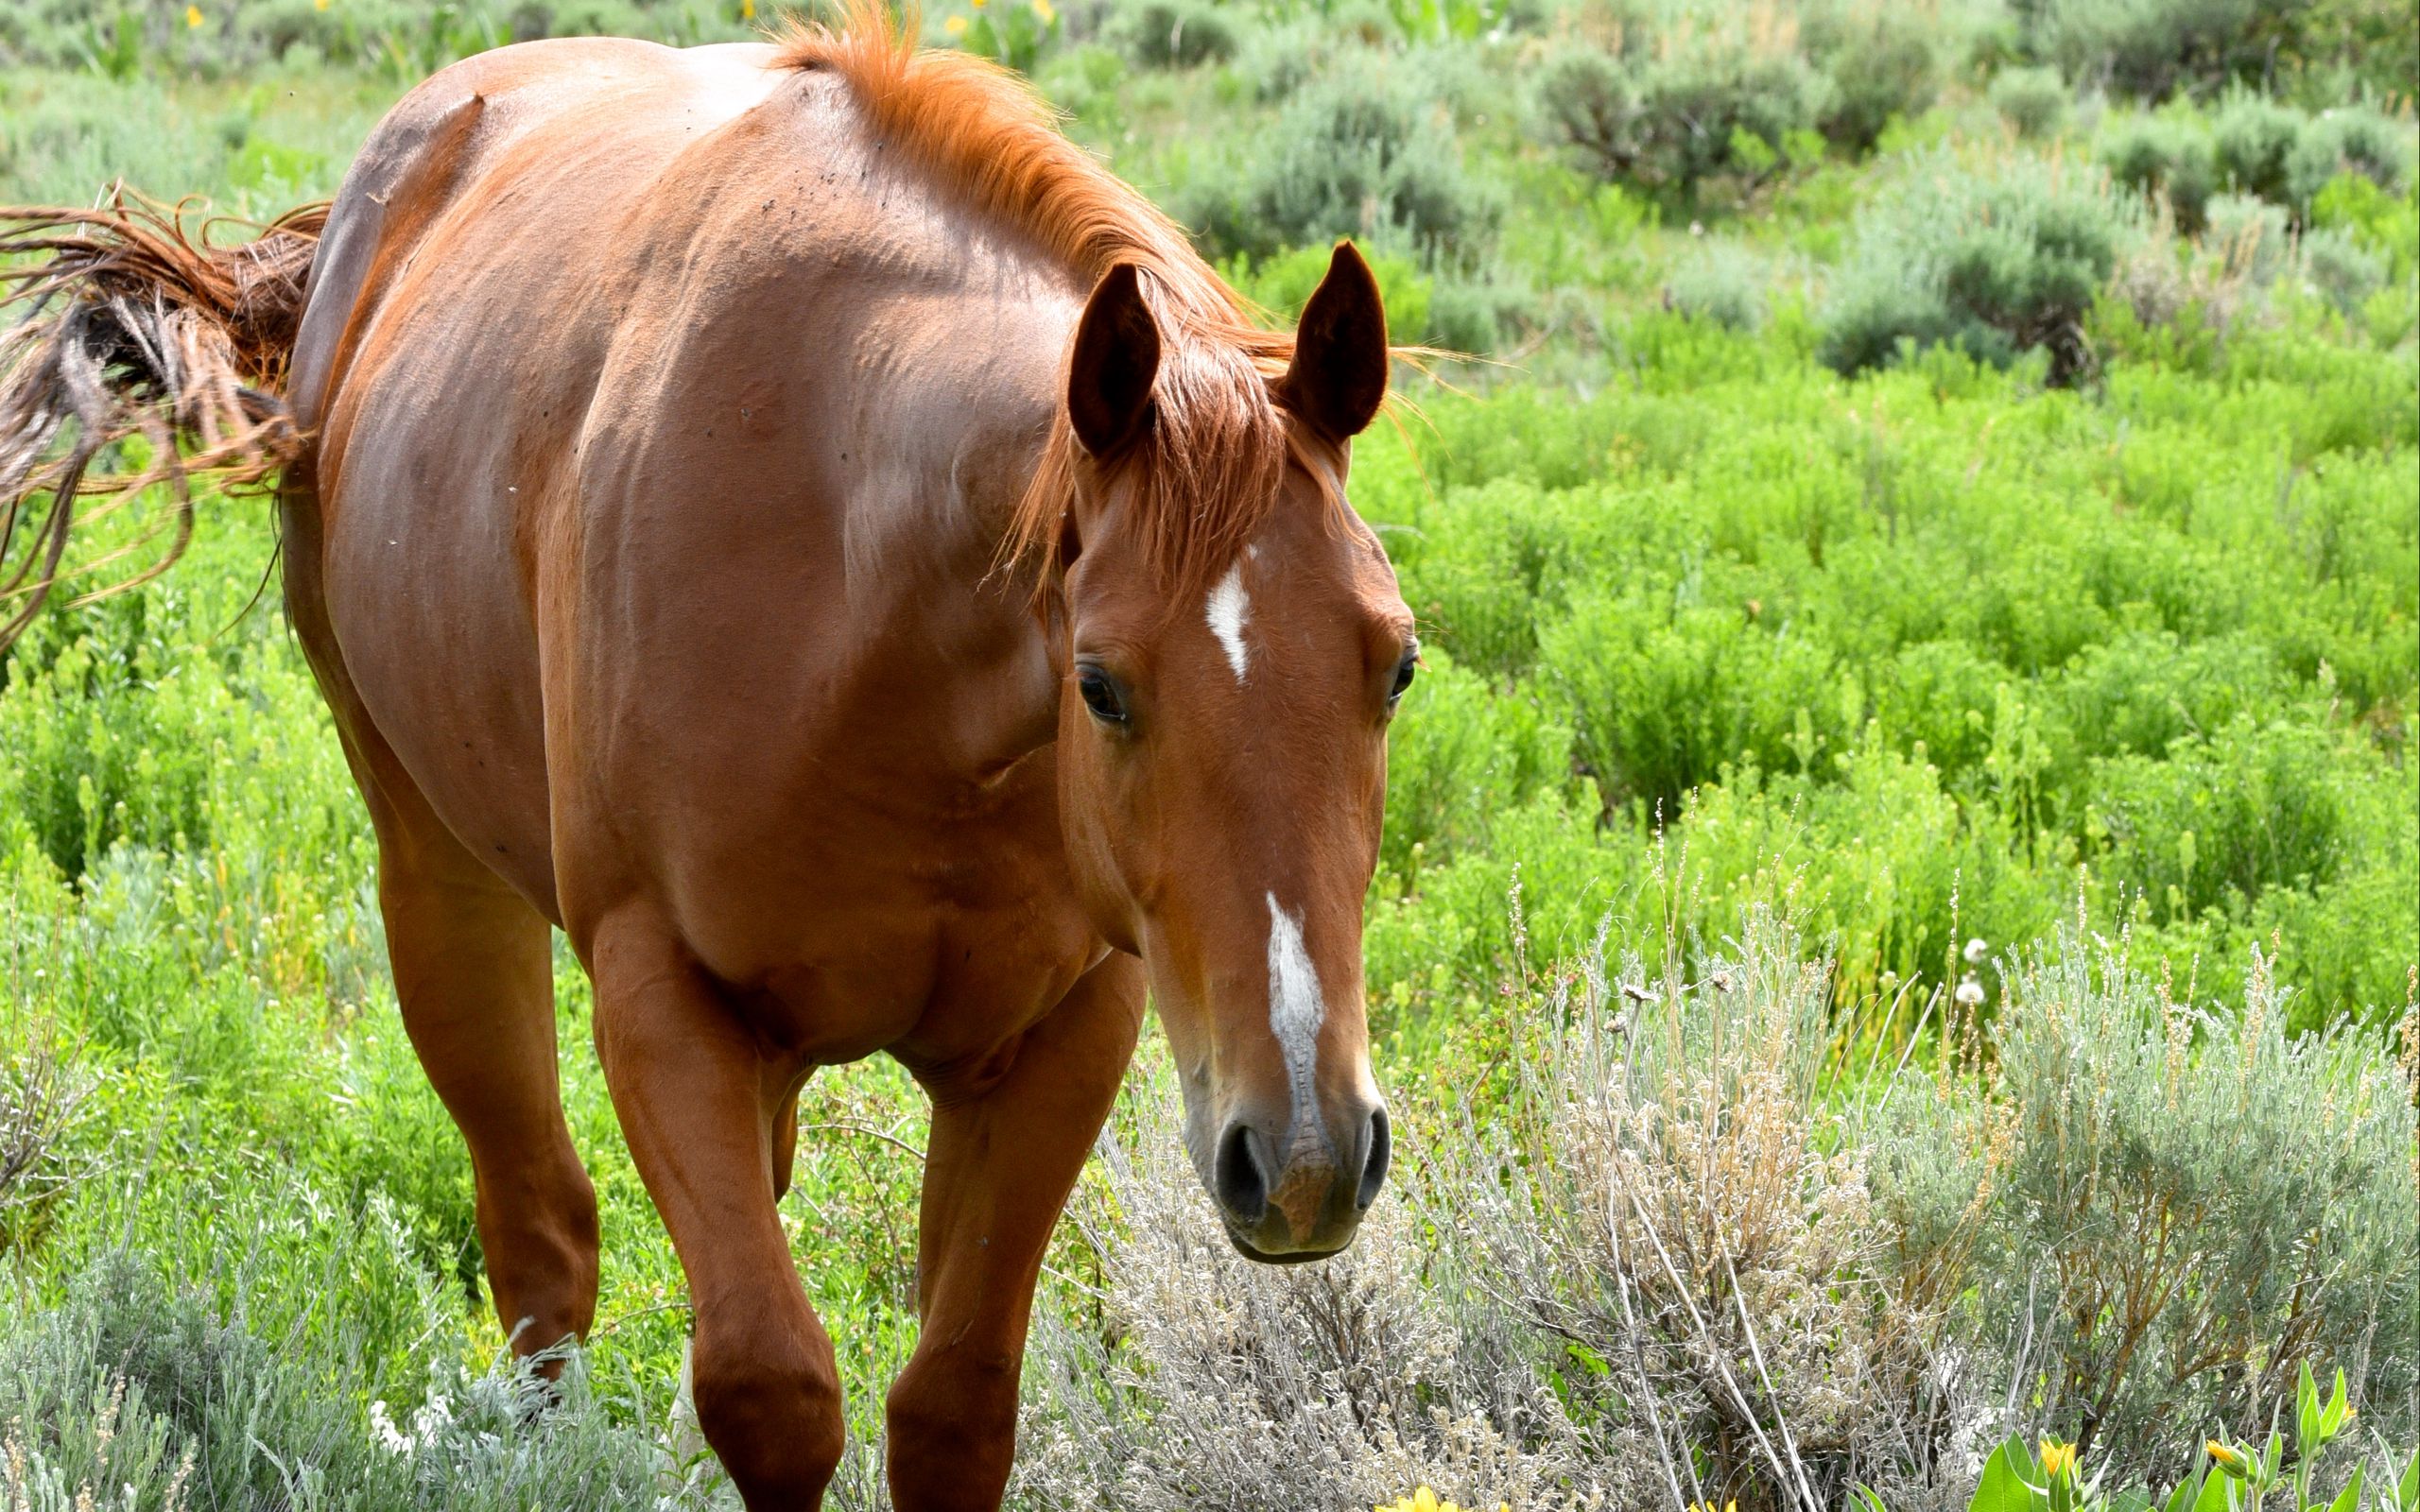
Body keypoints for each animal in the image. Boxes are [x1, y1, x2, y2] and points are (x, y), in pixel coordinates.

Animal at [0, 6, 1413, 1500]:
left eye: (1396, 662)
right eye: (1101, 685)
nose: (1307, 1153)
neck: (874, 612)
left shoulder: (1060, 1031)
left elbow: (954, 1407)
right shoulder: (660, 997)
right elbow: (770, 1387)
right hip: (439, 880)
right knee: (541, 1238)